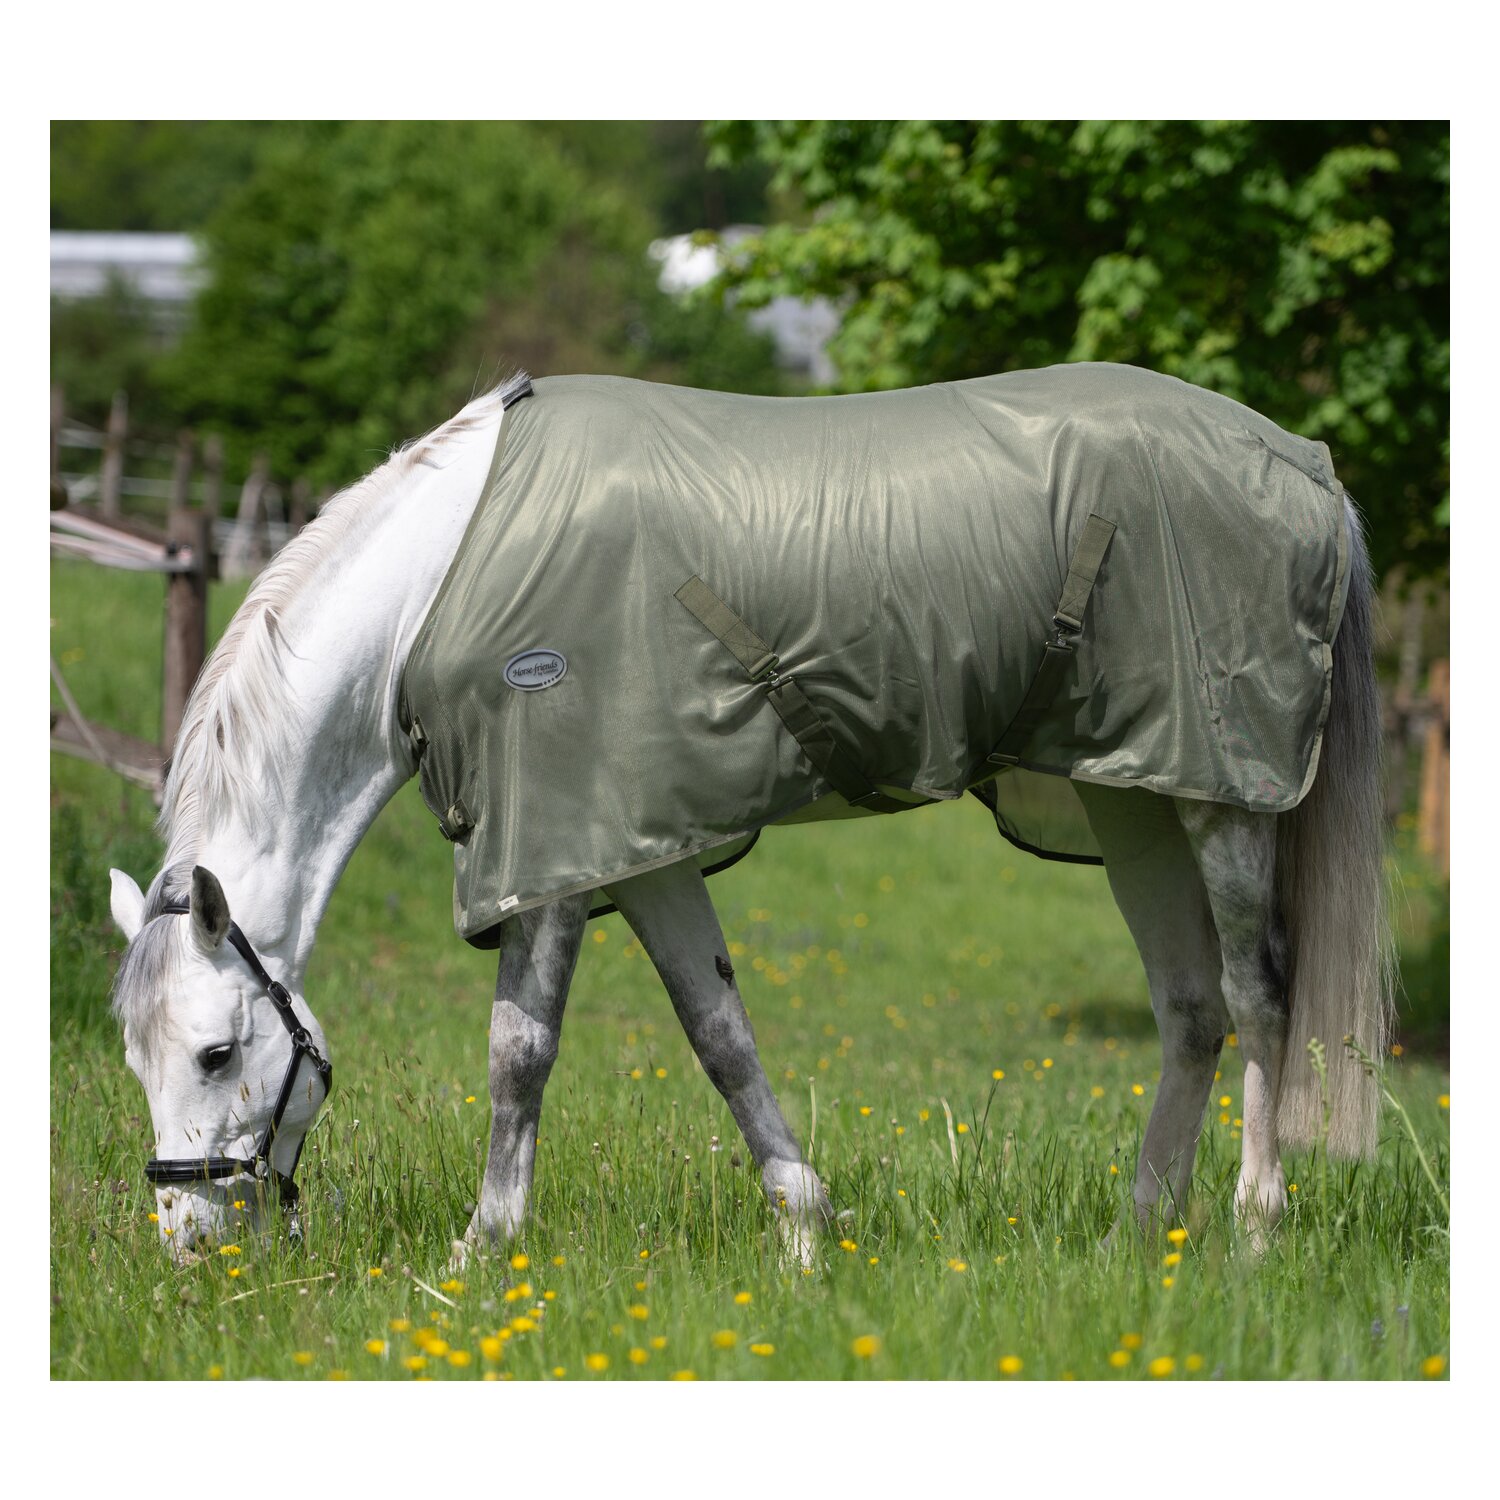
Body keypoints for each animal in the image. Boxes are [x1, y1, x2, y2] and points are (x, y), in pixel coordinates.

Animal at [104, 363, 1392, 1264]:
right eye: (133, 1055)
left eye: (217, 1051)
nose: (189, 1248)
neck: (441, 580)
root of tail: (1311, 471)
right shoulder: (638, 846)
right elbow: (718, 1033)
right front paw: (807, 1230)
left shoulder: (553, 844)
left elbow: (520, 1052)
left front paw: (481, 1252)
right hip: (1128, 792)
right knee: (1189, 1010)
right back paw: (1138, 1237)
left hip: (1225, 801)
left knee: (1257, 997)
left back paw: (1256, 1228)